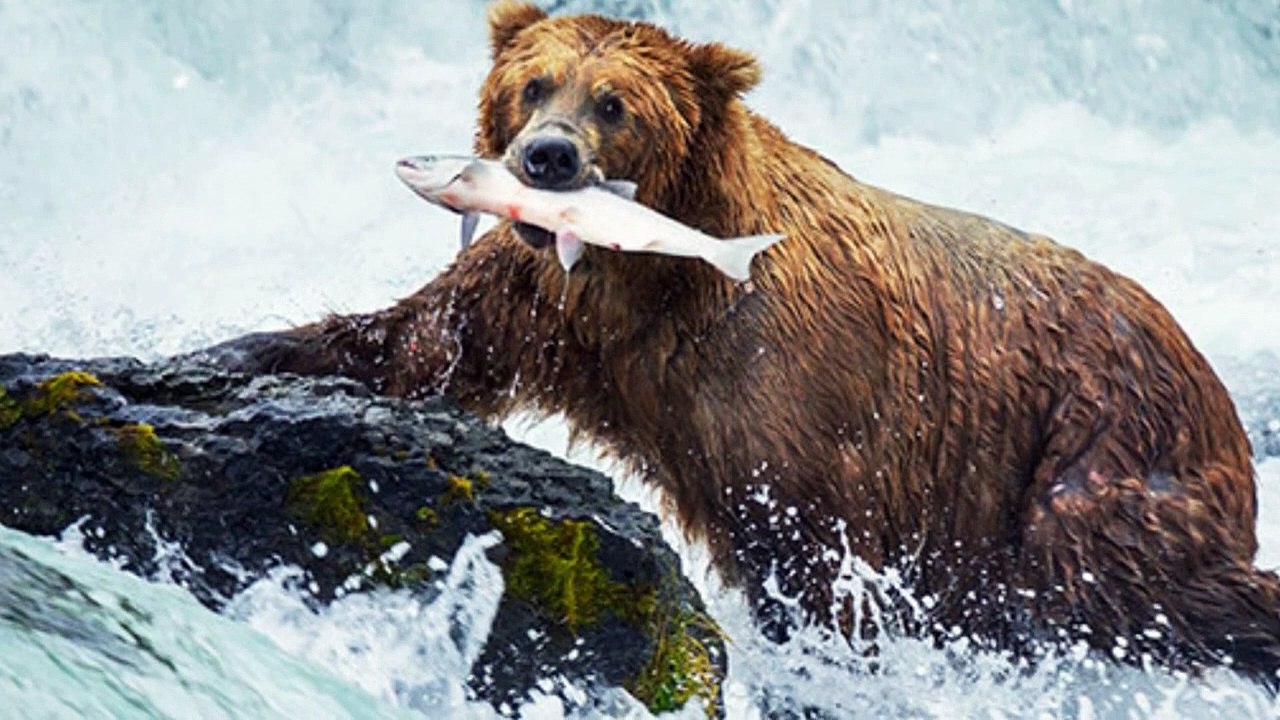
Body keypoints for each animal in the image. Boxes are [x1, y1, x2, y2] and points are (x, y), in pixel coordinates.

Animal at [220, 0, 1280, 687]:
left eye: (615, 101)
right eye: (533, 83)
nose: (547, 157)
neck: (653, 274)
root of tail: (1205, 370)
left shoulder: (793, 381)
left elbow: (811, 548)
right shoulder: (547, 306)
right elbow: (417, 341)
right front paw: (229, 354)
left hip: (1095, 446)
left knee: (1113, 583)